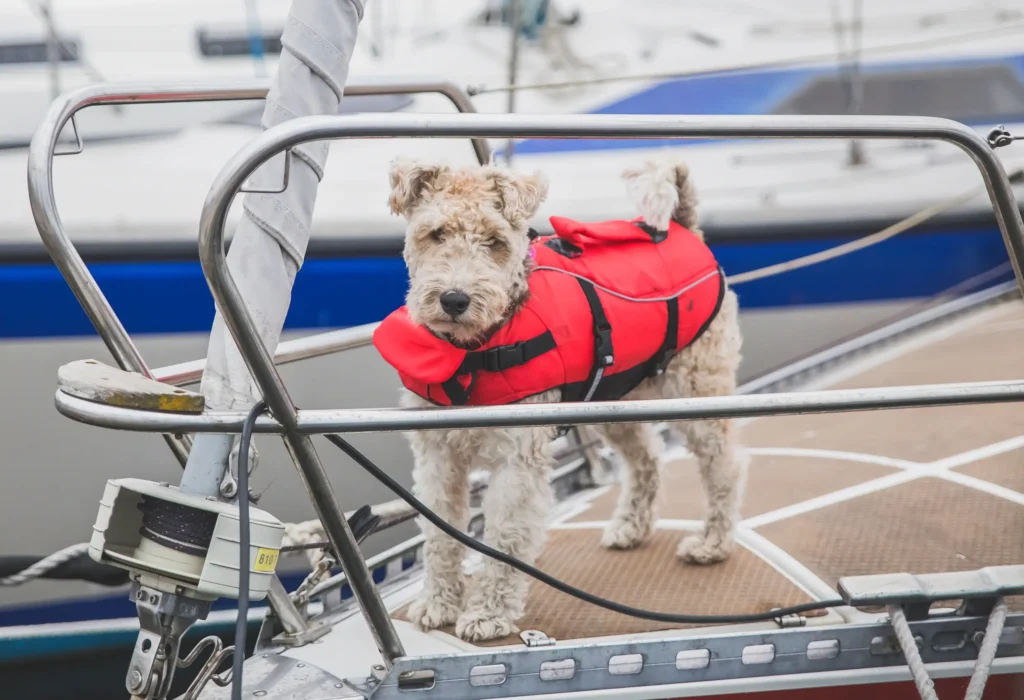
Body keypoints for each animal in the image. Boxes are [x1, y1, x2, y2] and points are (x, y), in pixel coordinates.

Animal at [376, 155, 745, 642]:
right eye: (435, 233)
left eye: (494, 240)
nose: (454, 300)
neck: (476, 351)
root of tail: (685, 226)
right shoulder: (438, 456)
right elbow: (440, 534)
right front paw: (438, 604)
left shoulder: (516, 458)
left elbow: (504, 537)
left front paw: (487, 614)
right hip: (618, 399)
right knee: (646, 459)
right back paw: (630, 527)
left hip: (698, 393)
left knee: (725, 467)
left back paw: (711, 545)